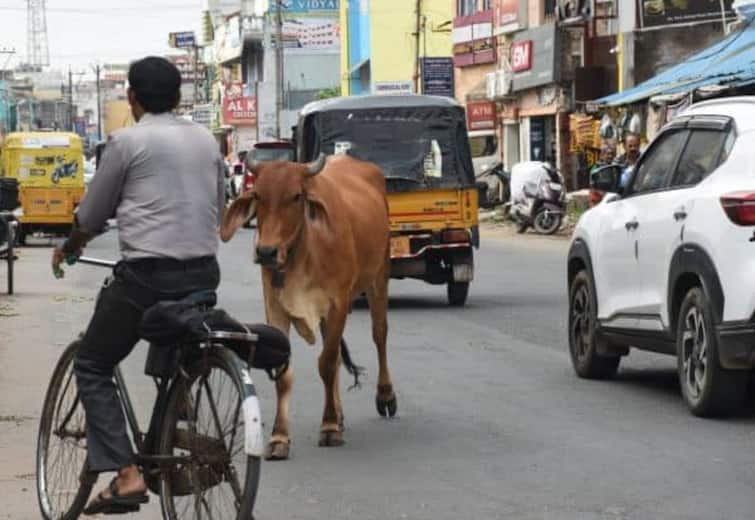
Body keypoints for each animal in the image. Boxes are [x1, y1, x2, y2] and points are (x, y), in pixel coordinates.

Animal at [221, 151, 398, 460]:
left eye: (296, 196)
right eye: (258, 195)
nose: (266, 252)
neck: (304, 252)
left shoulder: (337, 304)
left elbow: (326, 364)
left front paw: (328, 428)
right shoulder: (275, 307)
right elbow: (286, 372)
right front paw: (279, 438)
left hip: (379, 276)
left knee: (379, 334)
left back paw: (385, 395)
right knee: (338, 354)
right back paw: (339, 414)